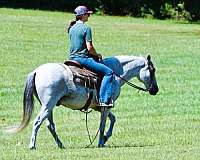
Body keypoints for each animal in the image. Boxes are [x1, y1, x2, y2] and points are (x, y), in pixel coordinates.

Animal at [6, 54, 159, 149]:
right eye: (152, 70)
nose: (155, 90)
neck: (115, 73)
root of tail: (37, 71)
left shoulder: (101, 106)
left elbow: (113, 119)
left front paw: (105, 137)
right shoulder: (106, 106)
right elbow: (103, 124)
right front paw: (101, 141)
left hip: (48, 106)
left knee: (50, 125)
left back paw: (61, 145)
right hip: (48, 104)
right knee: (38, 122)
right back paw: (32, 145)